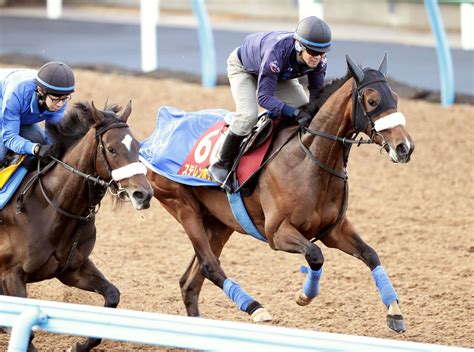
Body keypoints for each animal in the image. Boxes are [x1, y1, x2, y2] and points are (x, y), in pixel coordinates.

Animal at [0, 100, 152, 350]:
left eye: (138, 147)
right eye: (111, 149)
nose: (144, 194)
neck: (53, 207)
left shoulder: (74, 269)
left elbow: (112, 295)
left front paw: (80, 345)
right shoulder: (11, 274)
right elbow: (26, 335)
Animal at [147, 54, 414, 332]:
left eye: (395, 97)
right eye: (372, 100)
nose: (405, 147)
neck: (309, 161)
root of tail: (161, 129)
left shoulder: (334, 230)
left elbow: (371, 254)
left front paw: (395, 312)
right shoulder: (277, 232)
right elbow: (315, 255)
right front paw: (304, 295)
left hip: (220, 222)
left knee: (191, 281)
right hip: (183, 206)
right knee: (209, 265)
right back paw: (256, 308)